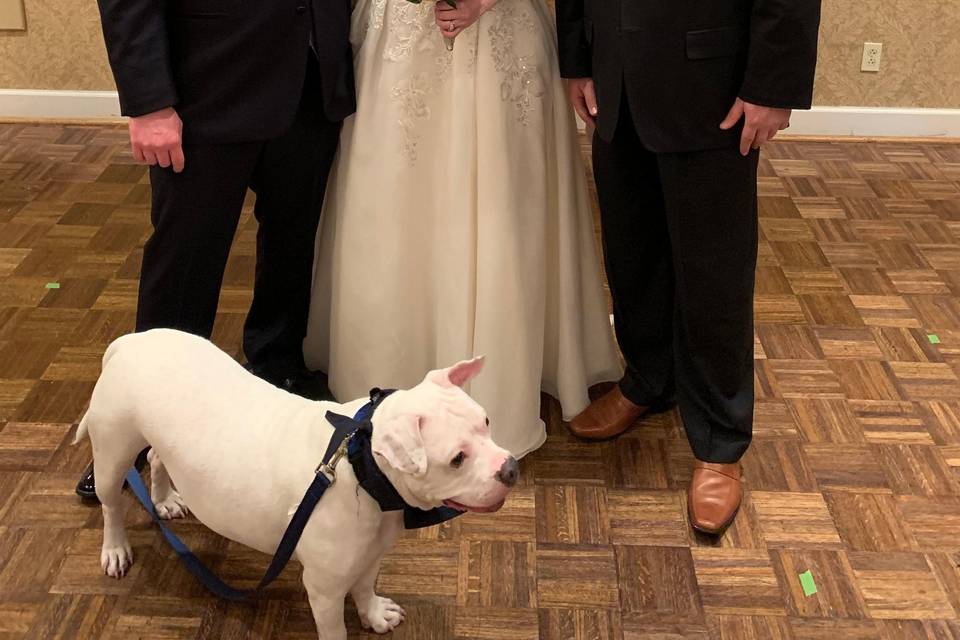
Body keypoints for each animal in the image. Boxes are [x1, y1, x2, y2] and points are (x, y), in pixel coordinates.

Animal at [74, 330, 516, 640]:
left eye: (486, 421)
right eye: (457, 459)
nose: (510, 468)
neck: (361, 463)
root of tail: (132, 341)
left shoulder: (370, 553)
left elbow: (365, 588)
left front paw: (374, 614)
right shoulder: (324, 589)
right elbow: (335, 629)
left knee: (155, 457)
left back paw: (164, 499)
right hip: (113, 453)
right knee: (112, 504)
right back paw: (115, 549)